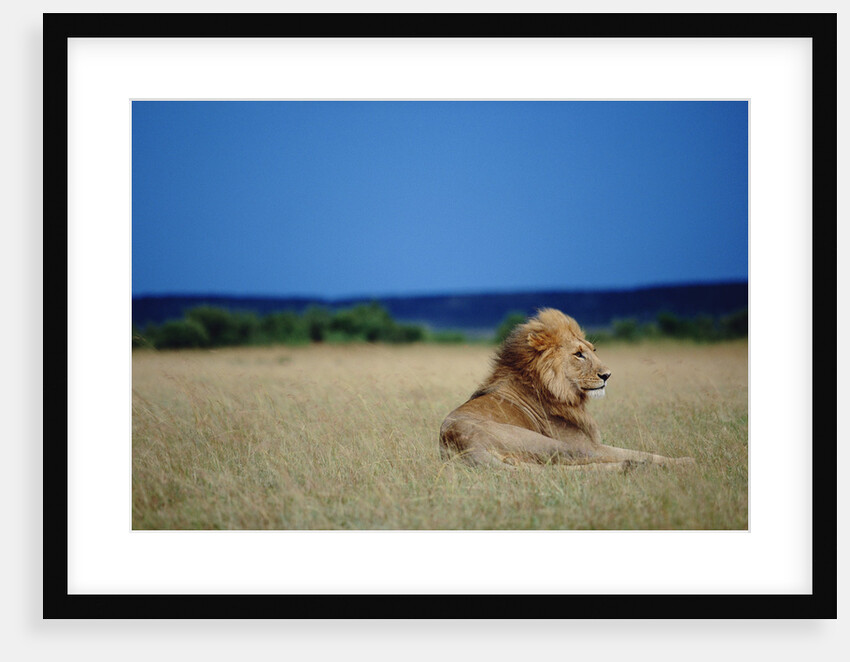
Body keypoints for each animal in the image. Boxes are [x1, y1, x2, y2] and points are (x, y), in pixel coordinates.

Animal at [439, 308, 694, 470]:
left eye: (593, 350)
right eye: (578, 354)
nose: (607, 375)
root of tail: (458, 442)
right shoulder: (586, 445)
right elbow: (636, 450)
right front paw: (685, 460)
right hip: (555, 445)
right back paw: (634, 466)